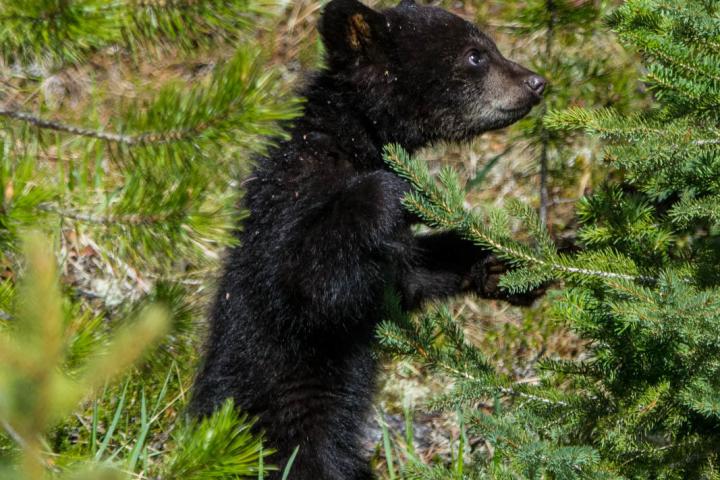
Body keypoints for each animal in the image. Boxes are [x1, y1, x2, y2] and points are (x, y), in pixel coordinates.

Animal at [190, 0, 546, 478]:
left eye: (489, 46)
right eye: (476, 55)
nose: (536, 82)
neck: (353, 138)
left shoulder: (383, 260)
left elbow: (408, 274)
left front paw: (508, 263)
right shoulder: (290, 201)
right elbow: (306, 281)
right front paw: (396, 189)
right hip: (286, 410)